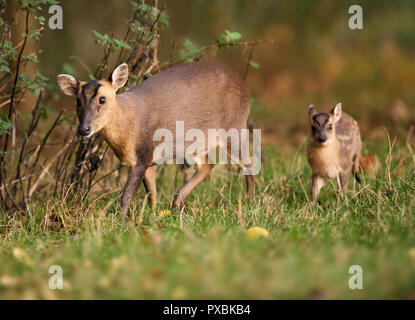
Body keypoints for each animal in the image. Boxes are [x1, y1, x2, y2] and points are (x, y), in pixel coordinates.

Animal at [57, 61, 255, 221]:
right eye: (77, 101)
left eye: (102, 99)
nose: (84, 129)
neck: (128, 125)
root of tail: (244, 83)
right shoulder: (148, 161)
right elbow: (151, 194)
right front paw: (153, 218)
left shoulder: (143, 154)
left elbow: (126, 196)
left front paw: (120, 223)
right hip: (196, 144)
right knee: (207, 165)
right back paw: (176, 204)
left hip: (234, 127)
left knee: (248, 164)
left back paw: (249, 205)